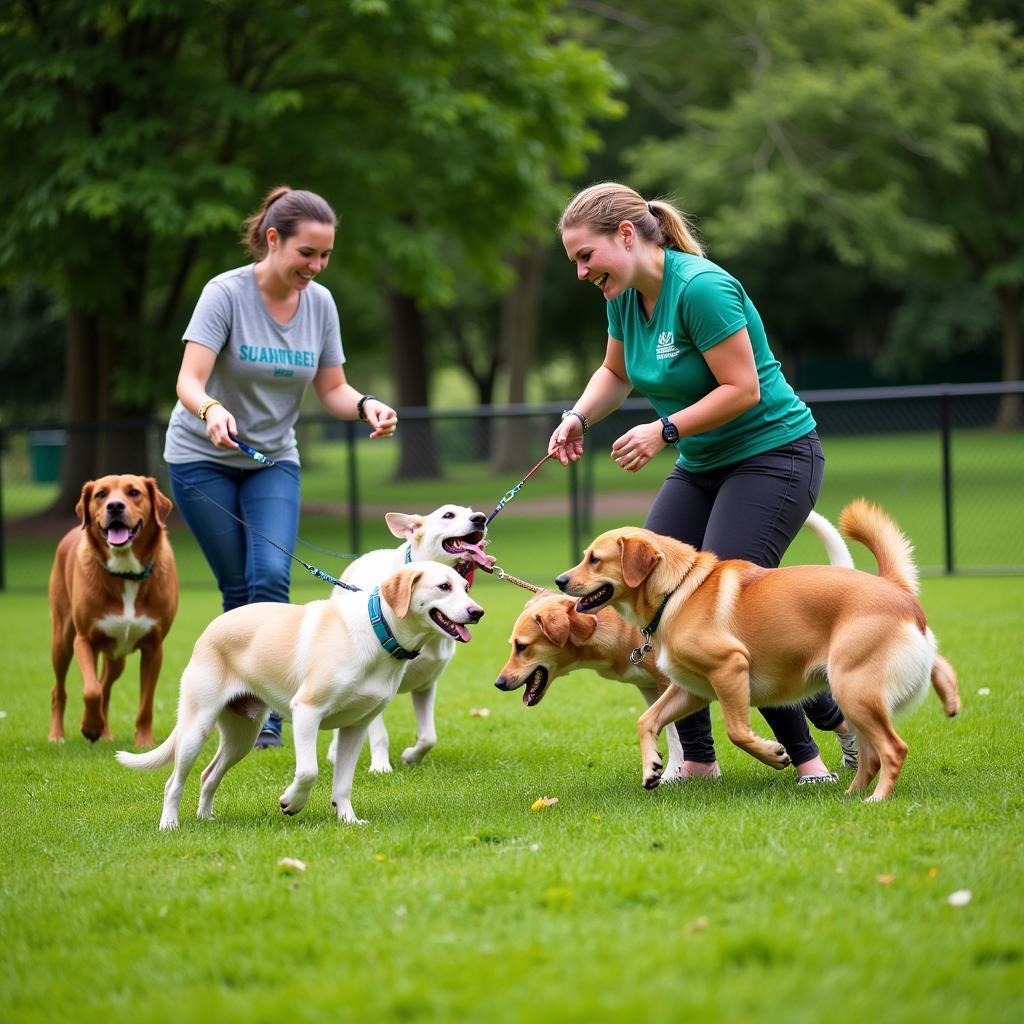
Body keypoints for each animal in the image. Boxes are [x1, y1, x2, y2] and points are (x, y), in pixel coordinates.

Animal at [47, 475, 180, 749]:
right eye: (101, 494)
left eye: (134, 492)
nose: (115, 506)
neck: (126, 572)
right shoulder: (84, 640)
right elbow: (91, 690)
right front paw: (90, 727)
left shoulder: (154, 648)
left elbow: (145, 703)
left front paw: (144, 742)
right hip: (62, 640)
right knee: (61, 689)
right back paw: (57, 735)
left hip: (117, 657)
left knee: (106, 686)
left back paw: (105, 732)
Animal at [117, 561, 485, 831]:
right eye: (443, 586)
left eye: (465, 587)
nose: (477, 612)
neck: (377, 633)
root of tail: (210, 629)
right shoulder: (307, 711)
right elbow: (308, 771)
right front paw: (291, 802)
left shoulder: (356, 727)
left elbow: (343, 784)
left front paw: (348, 820)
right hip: (197, 727)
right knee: (173, 782)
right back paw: (169, 825)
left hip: (242, 736)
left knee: (209, 775)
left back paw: (206, 817)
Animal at [331, 499, 495, 770]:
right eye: (448, 515)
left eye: (472, 512)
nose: (480, 518)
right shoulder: (373, 684)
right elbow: (378, 733)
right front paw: (380, 766)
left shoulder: (426, 685)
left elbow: (429, 736)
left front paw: (411, 756)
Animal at [552, 499, 958, 802]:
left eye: (594, 559)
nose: (559, 580)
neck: (677, 592)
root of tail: (898, 592)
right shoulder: (692, 690)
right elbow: (646, 720)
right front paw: (652, 766)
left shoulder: (731, 668)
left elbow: (736, 731)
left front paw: (774, 755)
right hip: (854, 696)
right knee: (874, 754)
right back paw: (852, 794)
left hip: (853, 690)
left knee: (893, 749)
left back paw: (876, 799)